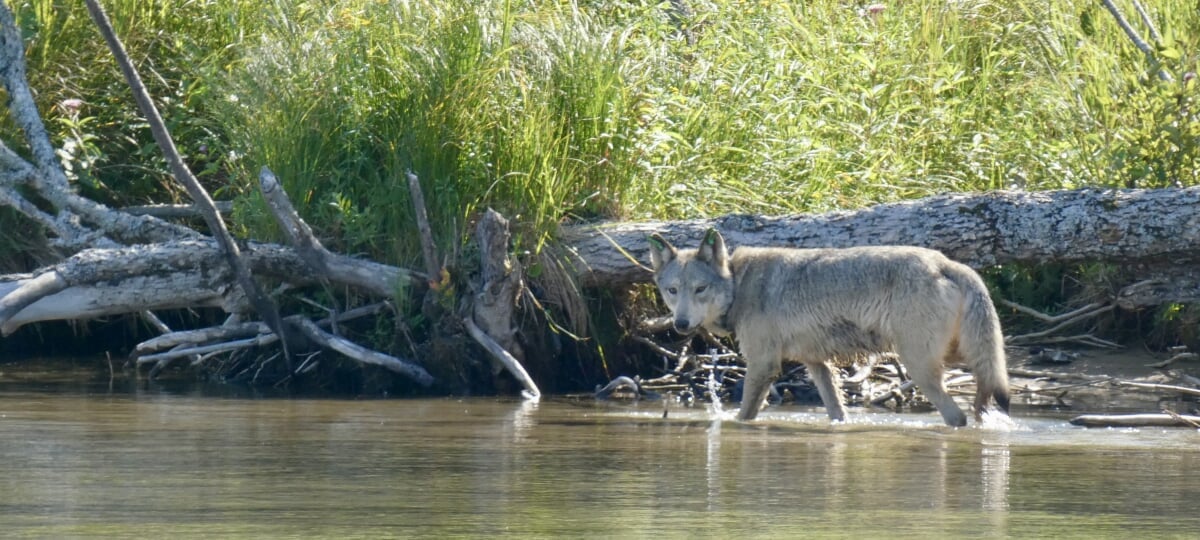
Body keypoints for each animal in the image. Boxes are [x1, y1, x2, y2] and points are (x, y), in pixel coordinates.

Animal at [648, 229, 1010, 426]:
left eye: (700, 289)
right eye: (672, 290)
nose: (680, 324)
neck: (739, 284)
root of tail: (948, 263)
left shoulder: (763, 364)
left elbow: (745, 414)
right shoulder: (817, 364)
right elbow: (837, 412)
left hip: (919, 367)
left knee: (957, 416)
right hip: (966, 361)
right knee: (981, 401)